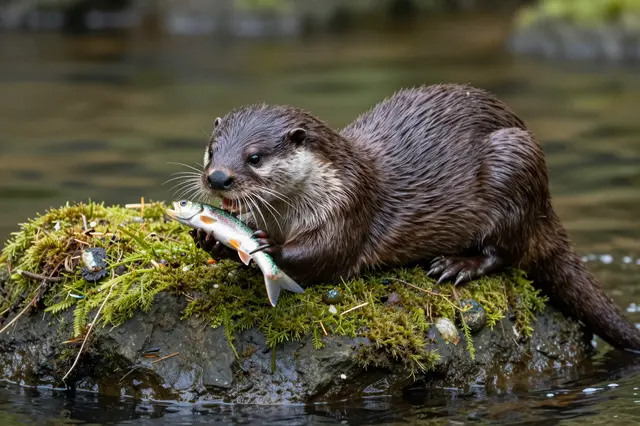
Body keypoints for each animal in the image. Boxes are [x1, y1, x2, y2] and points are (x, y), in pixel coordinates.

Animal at [187, 83, 640, 352]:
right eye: (212, 148)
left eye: (255, 157)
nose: (217, 177)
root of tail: (546, 201)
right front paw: (212, 239)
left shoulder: (348, 206)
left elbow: (326, 255)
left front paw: (266, 247)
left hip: (514, 166)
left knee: (506, 253)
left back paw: (457, 265)